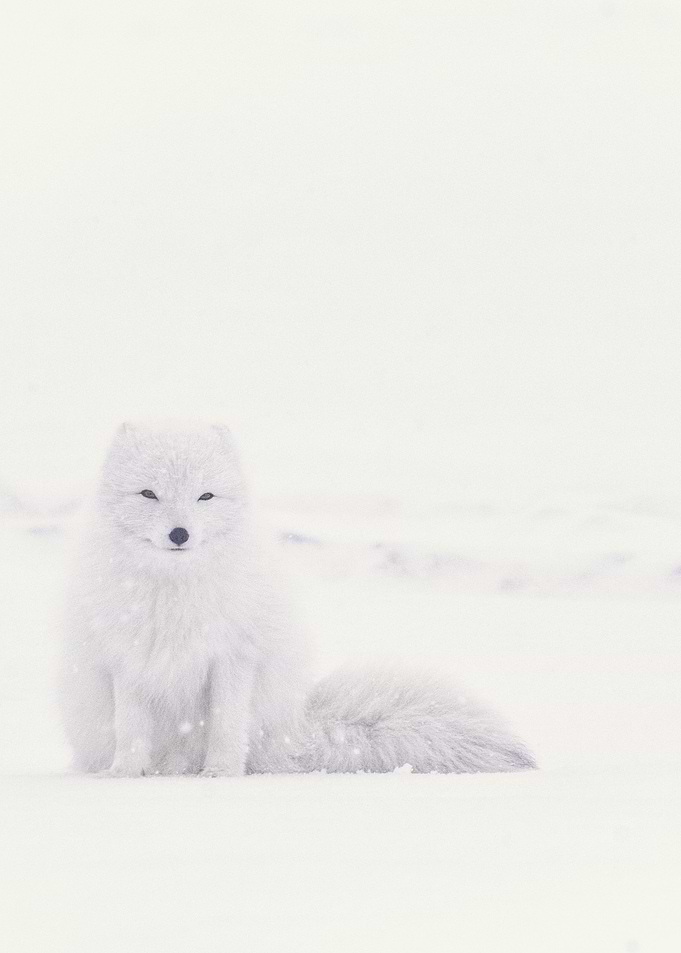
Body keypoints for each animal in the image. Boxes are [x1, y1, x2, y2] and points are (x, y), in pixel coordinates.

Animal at [59, 421, 536, 777]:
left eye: (205, 496)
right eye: (148, 493)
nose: (180, 534)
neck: (174, 592)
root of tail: (296, 728)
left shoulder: (235, 655)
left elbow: (226, 723)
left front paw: (220, 774)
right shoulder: (127, 657)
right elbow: (130, 726)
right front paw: (125, 774)